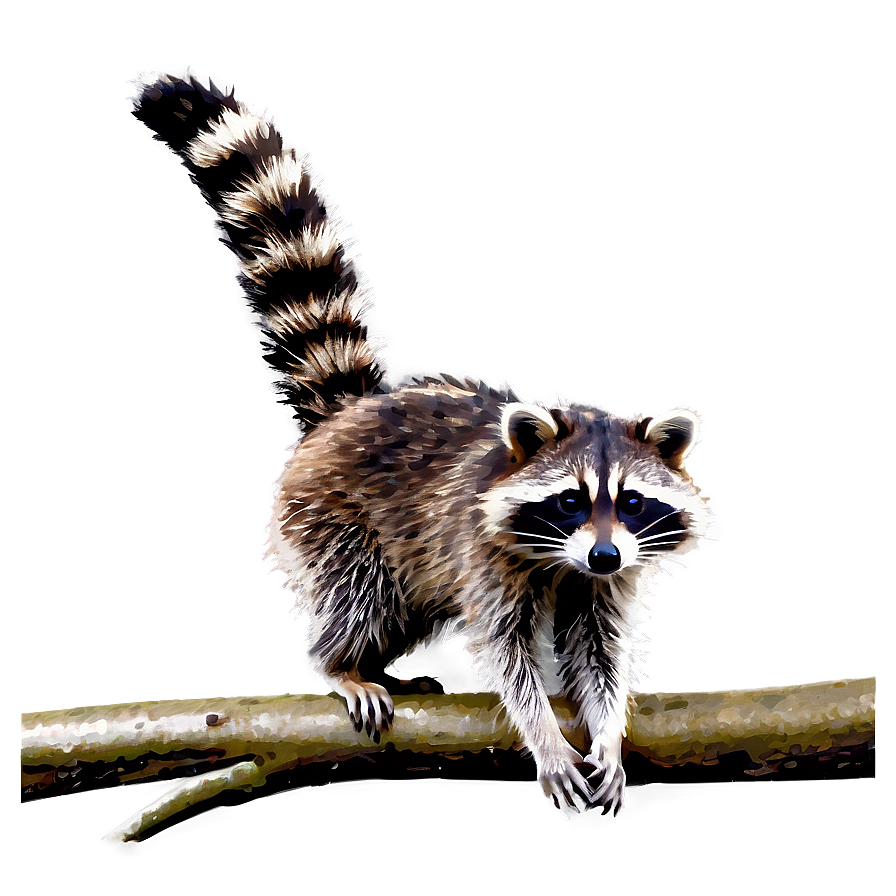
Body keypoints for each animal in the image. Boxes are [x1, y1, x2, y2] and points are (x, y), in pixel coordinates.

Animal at [130, 70, 709, 814]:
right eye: (570, 501)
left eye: (632, 502)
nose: (603, 554)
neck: (563, 556)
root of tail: (349, 412)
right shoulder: (480, 546)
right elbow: (506, 653)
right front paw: (543, 734)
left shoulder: (610, 571)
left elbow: (599, 651)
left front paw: (607, 732)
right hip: (329, 518)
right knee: (361, 592)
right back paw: (342, 662)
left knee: (402, 607)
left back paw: (374, 661)